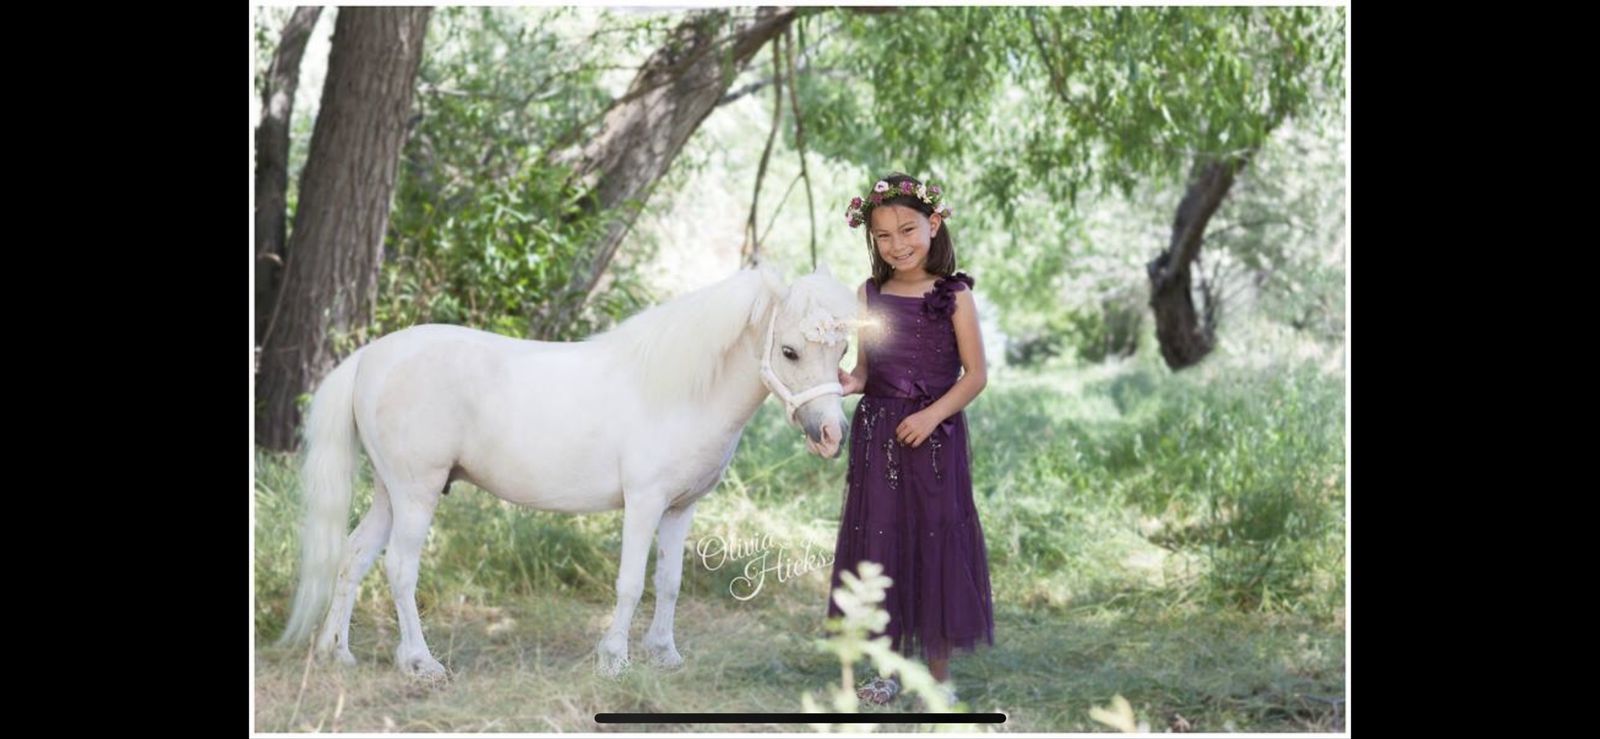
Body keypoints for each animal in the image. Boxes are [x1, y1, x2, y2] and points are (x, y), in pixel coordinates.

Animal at [274, 263, 859, 679]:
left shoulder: (680, 509)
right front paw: (615, 658)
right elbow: (630, 583)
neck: (679, 389)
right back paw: (419, 662)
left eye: (842, 350)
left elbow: (668, 582)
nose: (833, 435)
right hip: (416, 493)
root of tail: (370, 357)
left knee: (354, 556)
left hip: (388, 492)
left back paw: (337, 653)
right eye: (789, 351)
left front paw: (664, 654)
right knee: (399, 567)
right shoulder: (644, 503)